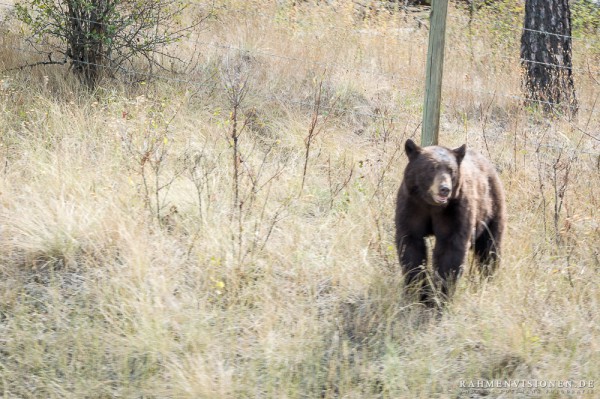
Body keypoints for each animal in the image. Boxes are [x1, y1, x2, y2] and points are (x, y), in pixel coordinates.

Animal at [394, 139, 506, 308]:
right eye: (431, 167)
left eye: (451, 170)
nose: (444, 189)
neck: (431, 205)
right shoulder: (411, 206)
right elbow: (411, 245)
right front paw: (418, 291)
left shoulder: (454, 210)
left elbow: (450, 249)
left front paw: (438, 296)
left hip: (491, 209)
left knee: (489, 248)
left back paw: (487, 280)